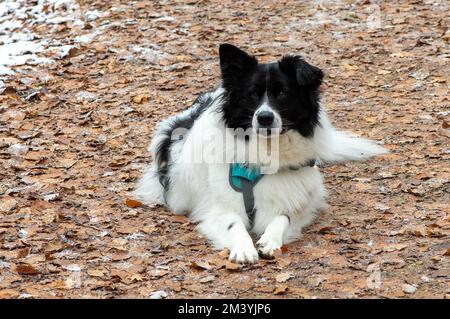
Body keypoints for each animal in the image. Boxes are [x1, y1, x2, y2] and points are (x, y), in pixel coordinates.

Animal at [134, 45, 386, 264]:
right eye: (252, 95)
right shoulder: (219, 206)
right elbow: (233, 223)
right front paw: (244, 248)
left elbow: (283, 217)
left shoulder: (296, 198)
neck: (267, 149)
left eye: (282, 93)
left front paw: (270, 240)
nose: (265, 117)